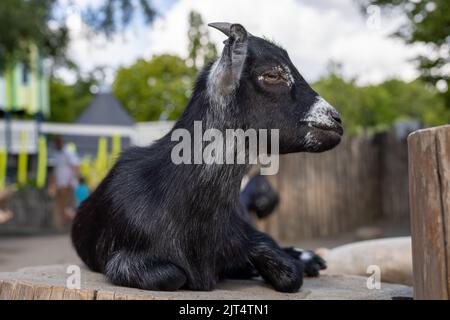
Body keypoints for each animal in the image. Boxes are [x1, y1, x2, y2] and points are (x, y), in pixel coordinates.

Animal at [72, 22, 342, 292]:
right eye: (272, 75)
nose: (336, 119)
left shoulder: (243, 233)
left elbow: (288, 273)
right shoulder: (123, 257)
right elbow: (172, 275)